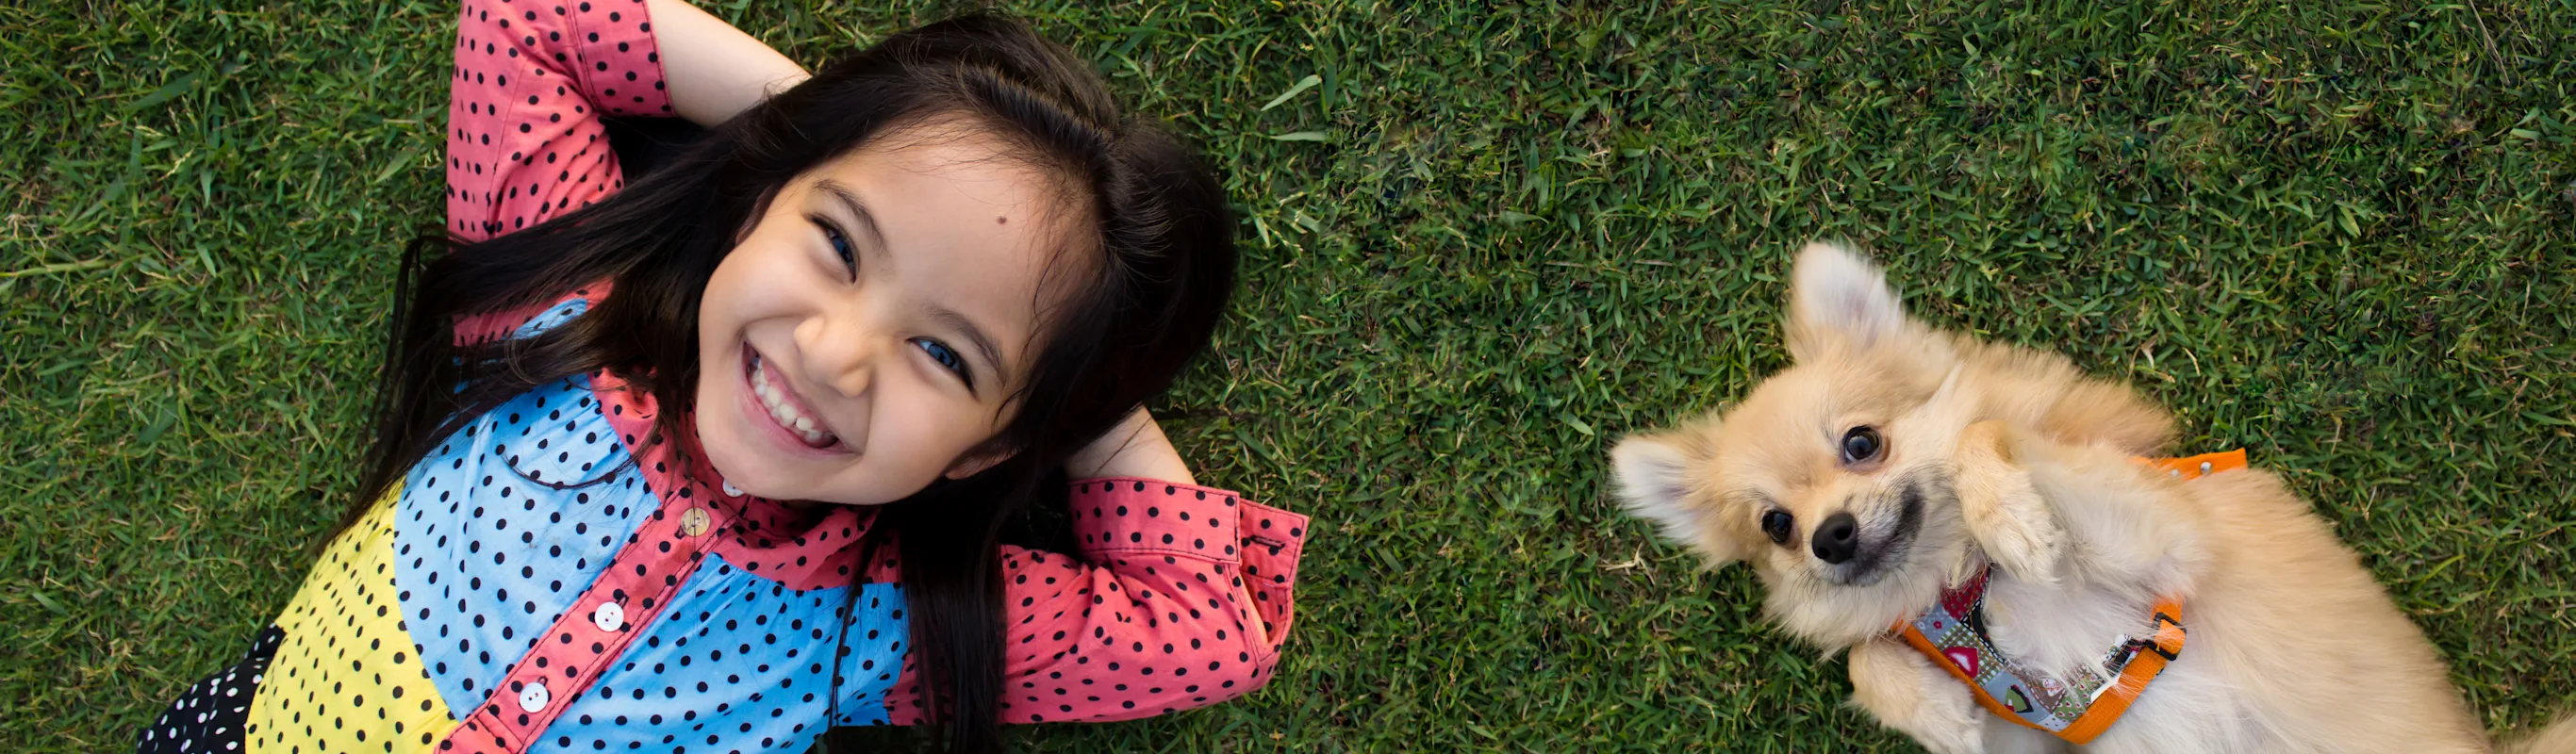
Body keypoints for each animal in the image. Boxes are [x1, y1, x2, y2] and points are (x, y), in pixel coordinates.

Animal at [1607, 243, 2576, 746]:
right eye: (1776, 525)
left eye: (1861, 443)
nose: (1831, 535)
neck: (1966, 591)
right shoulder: (2032, 731)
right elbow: (1868, 657)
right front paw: (1928, 709)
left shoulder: (2165, 552)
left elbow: (1982, 433)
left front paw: (2015, 522)